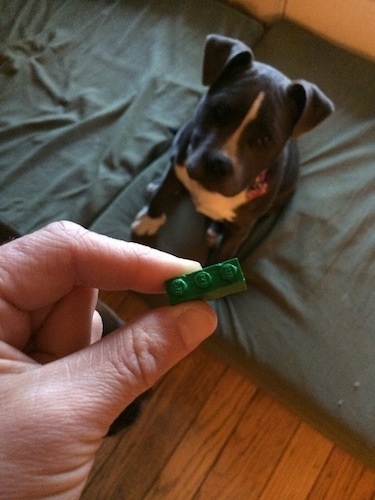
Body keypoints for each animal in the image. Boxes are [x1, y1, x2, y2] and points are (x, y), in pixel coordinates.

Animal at [133, 32, 334, 262]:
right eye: (218, 111)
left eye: (265, 139)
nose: (217, 164)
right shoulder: (179, 162)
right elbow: (163, 193)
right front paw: (150, 219)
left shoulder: (240, 230)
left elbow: (225, 254)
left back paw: (215, 230)